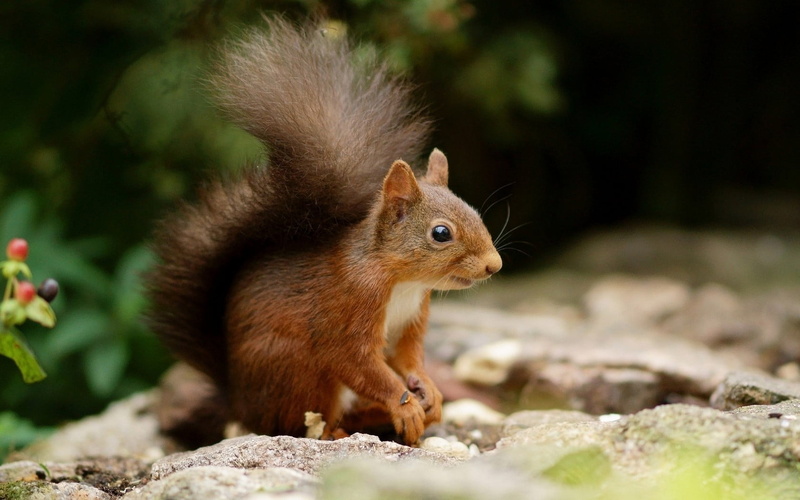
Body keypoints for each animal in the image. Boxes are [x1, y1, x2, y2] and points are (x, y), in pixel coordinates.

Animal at [146, 17, 502, 446]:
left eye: (475, 212)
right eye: (441, 233)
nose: (494, 265)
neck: (401, 280)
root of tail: (241, 403)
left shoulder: (412, 319)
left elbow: (407, 358)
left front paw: (427, 389)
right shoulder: (348, 310)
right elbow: (359, 363)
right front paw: (403, 404)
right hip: (299, 373)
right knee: (301, 423)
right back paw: (338, 429)